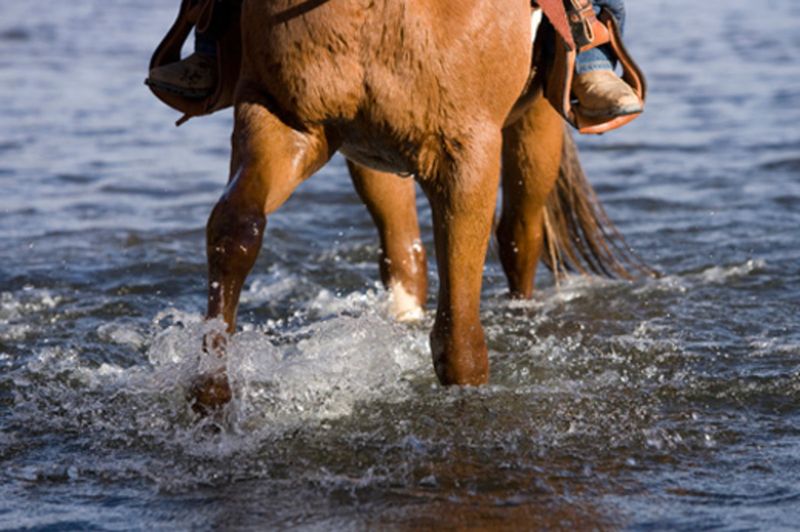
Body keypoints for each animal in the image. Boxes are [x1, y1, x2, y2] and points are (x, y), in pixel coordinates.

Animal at [191, 0, 648, 416]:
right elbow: (235, 231)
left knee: (519, 236)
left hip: (536, 124)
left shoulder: (468, 156)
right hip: (373, 158)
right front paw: (210, 394)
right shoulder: (281, 118)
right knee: (404, 254)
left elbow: (459, 340)